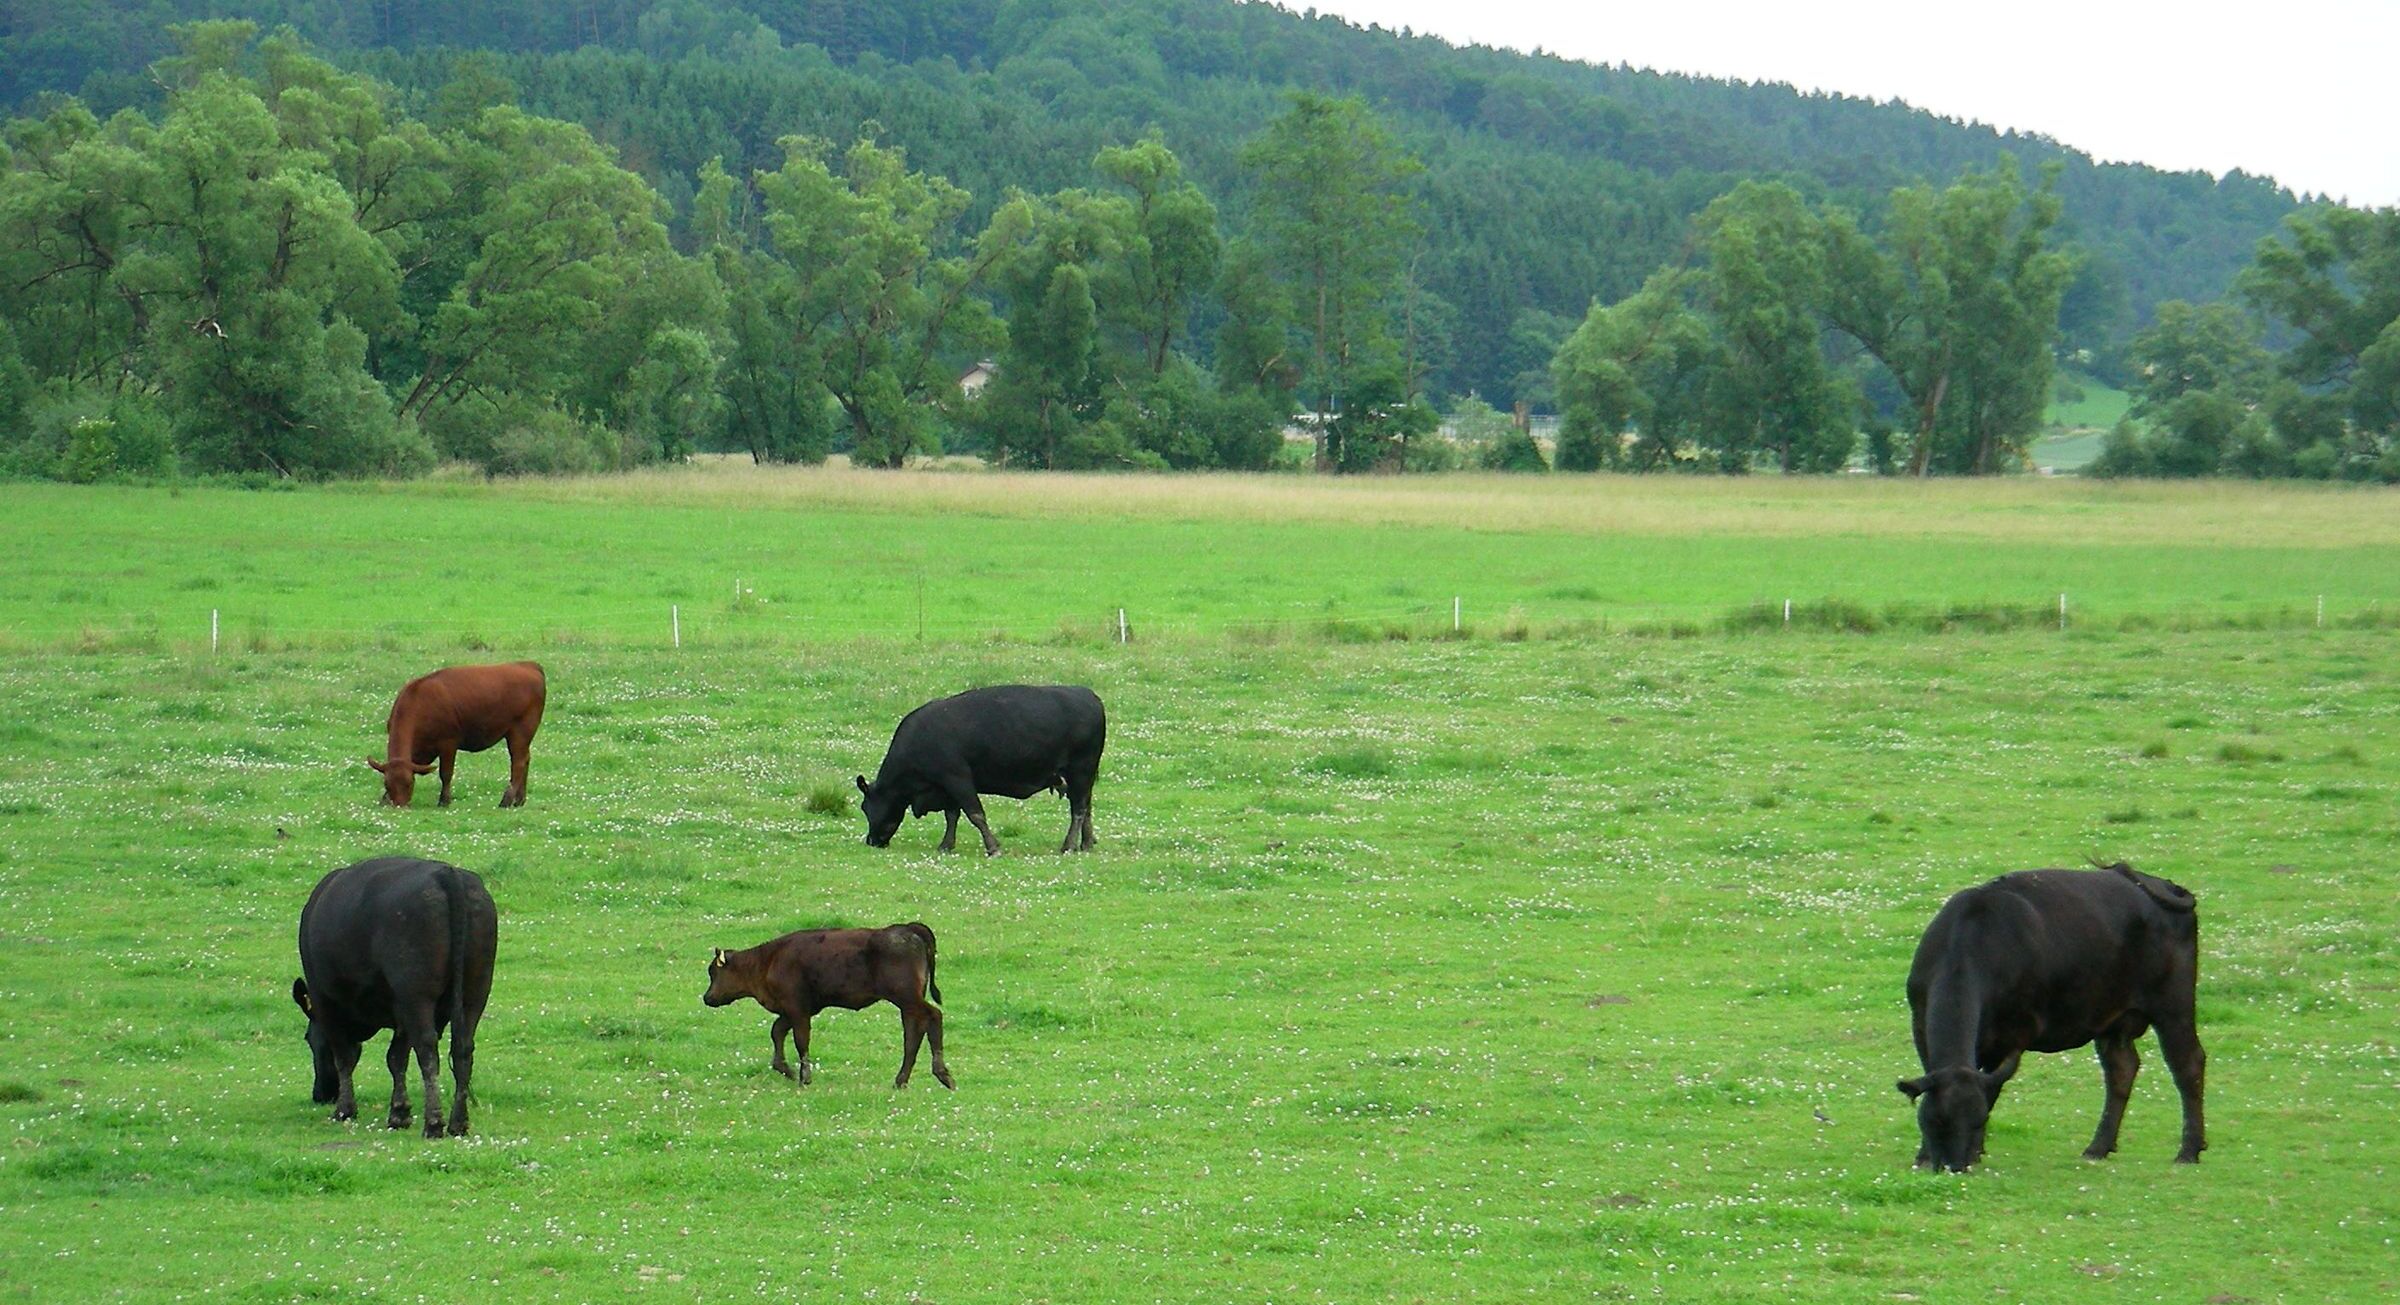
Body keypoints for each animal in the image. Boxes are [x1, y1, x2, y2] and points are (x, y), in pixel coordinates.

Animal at [290, 854, 496, 1132]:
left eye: (309, 1039)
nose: (321, 1094)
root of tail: (446, 873)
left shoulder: (327, 1002)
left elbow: (345, 1056)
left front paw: (345, 1110)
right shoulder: (401, 1010)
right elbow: (396, 1058)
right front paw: (399, 1113)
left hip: (417, 992)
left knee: (427, 1048)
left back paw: (434, 1124)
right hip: (474, 990)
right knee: (463, 1048)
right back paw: (457, 1123)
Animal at [362, 662, 547, 806]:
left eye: (409, 784)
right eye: (387, 784)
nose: (399, 806)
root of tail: (529, 665)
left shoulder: (448, 743)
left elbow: (446, 773)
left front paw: (444, 800)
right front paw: (384, 799)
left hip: (521, 730)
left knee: (518, 762)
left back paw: (506, 800)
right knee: (526, 759)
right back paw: (519, 800)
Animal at [700, 921, 950, 1093]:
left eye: (713, 972)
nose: (707, 997)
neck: (768, 961)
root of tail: (907, 928)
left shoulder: (797, 1010)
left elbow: (800, 1041)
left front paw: (804, 1078)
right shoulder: (794, 1010)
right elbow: (777, 1032)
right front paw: (787, 1070)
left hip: (907, 998)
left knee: (933, 1016)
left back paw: (943, 1075)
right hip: (907, 1003)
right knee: (913, 1034)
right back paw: (901, 1081)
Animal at [859, 681, 1108, 854]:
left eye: (865, 807)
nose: (871, 841)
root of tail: (1089, 695)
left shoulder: (957, 778)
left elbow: (975, 814)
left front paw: (993, 847)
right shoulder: (947, 787)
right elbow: (952, 815)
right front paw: (946, 845)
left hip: (1081, 770)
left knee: (1078, 810)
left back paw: (1068, 845)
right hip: (1080, 777)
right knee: (1086, 807)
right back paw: (1086, 843)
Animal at [1891, 868, 2208, 1170]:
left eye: (1978, 1121)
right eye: (1935, 1121)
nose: (1954, 1166)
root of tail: (2153, 882)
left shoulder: (2009, 1038)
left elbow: (1991, 1091)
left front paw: (1975, 1151)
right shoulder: (1920, 1025)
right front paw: (1925, 1156)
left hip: (2173, 1005)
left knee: (2188, 1064)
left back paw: (2189, 1150)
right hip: (2112, 1016)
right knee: (2121, 1069)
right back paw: (2098, 1147)